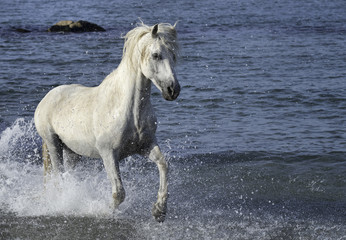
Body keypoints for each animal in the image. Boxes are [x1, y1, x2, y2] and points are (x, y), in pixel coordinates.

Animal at [34, 23, 181, 223]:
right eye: (156, 55)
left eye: (173, 55)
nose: (173, 90)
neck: (128, 111)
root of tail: (47, 97)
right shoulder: (108, 153)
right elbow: (119, 193)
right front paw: (104, 212)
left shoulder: (146, 146)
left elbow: (164, 165)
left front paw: (159, 211)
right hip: (52, 143)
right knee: (57, 177)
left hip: (72, 152)